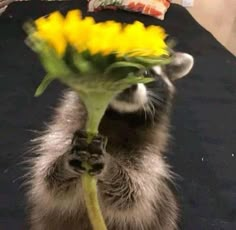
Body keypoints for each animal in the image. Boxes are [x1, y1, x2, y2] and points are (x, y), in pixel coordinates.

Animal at [26, 52, 195, 230]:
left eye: (147, 73)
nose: (129, 85)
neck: (118, 117)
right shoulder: (62, 134)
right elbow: (48, 179)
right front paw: (63, 163)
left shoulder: (148, 158)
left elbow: (134, 194)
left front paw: (111, 167)